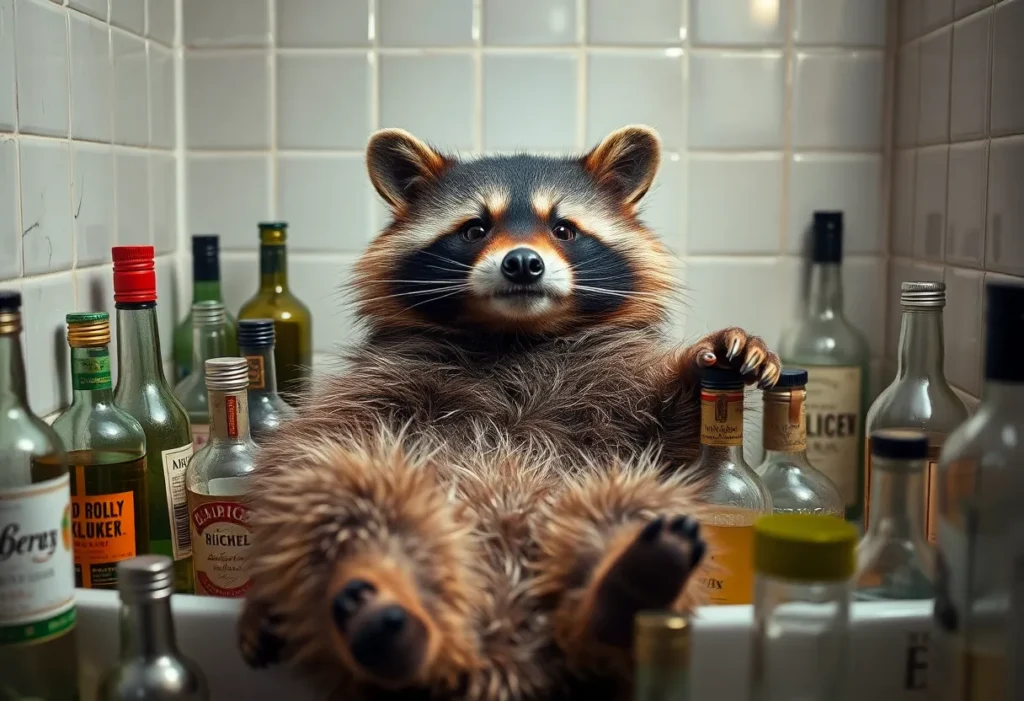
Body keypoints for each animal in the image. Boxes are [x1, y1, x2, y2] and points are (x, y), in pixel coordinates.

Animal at [239, 125, 781, 701]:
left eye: (564, 228)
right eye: (475, 228)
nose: (523, 262)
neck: (515, 335)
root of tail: (501, 651)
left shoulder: (619, 392)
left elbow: (672, 435)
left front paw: (707, 363)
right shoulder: (377, 382)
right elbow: (303, 449)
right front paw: (259, 599)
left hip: (604, 502)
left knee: (632, 503)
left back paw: (628, 586)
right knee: (342, 487)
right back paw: (377, 598)